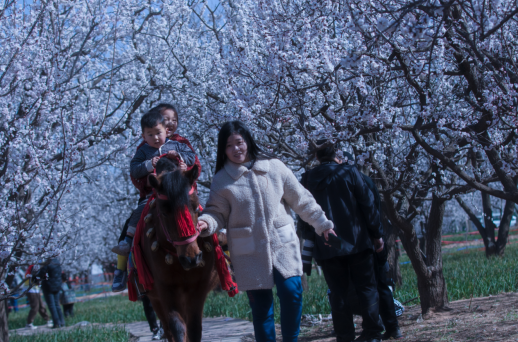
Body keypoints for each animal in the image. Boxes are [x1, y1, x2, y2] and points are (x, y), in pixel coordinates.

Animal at [135, 160, 218, 342]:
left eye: (195, 207)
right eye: (164, 212)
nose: (192, 259)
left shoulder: (197, 290)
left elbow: (194, 328)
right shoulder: (166, 290)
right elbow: (177, 328)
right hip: (155, 297)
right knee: (167, 328)